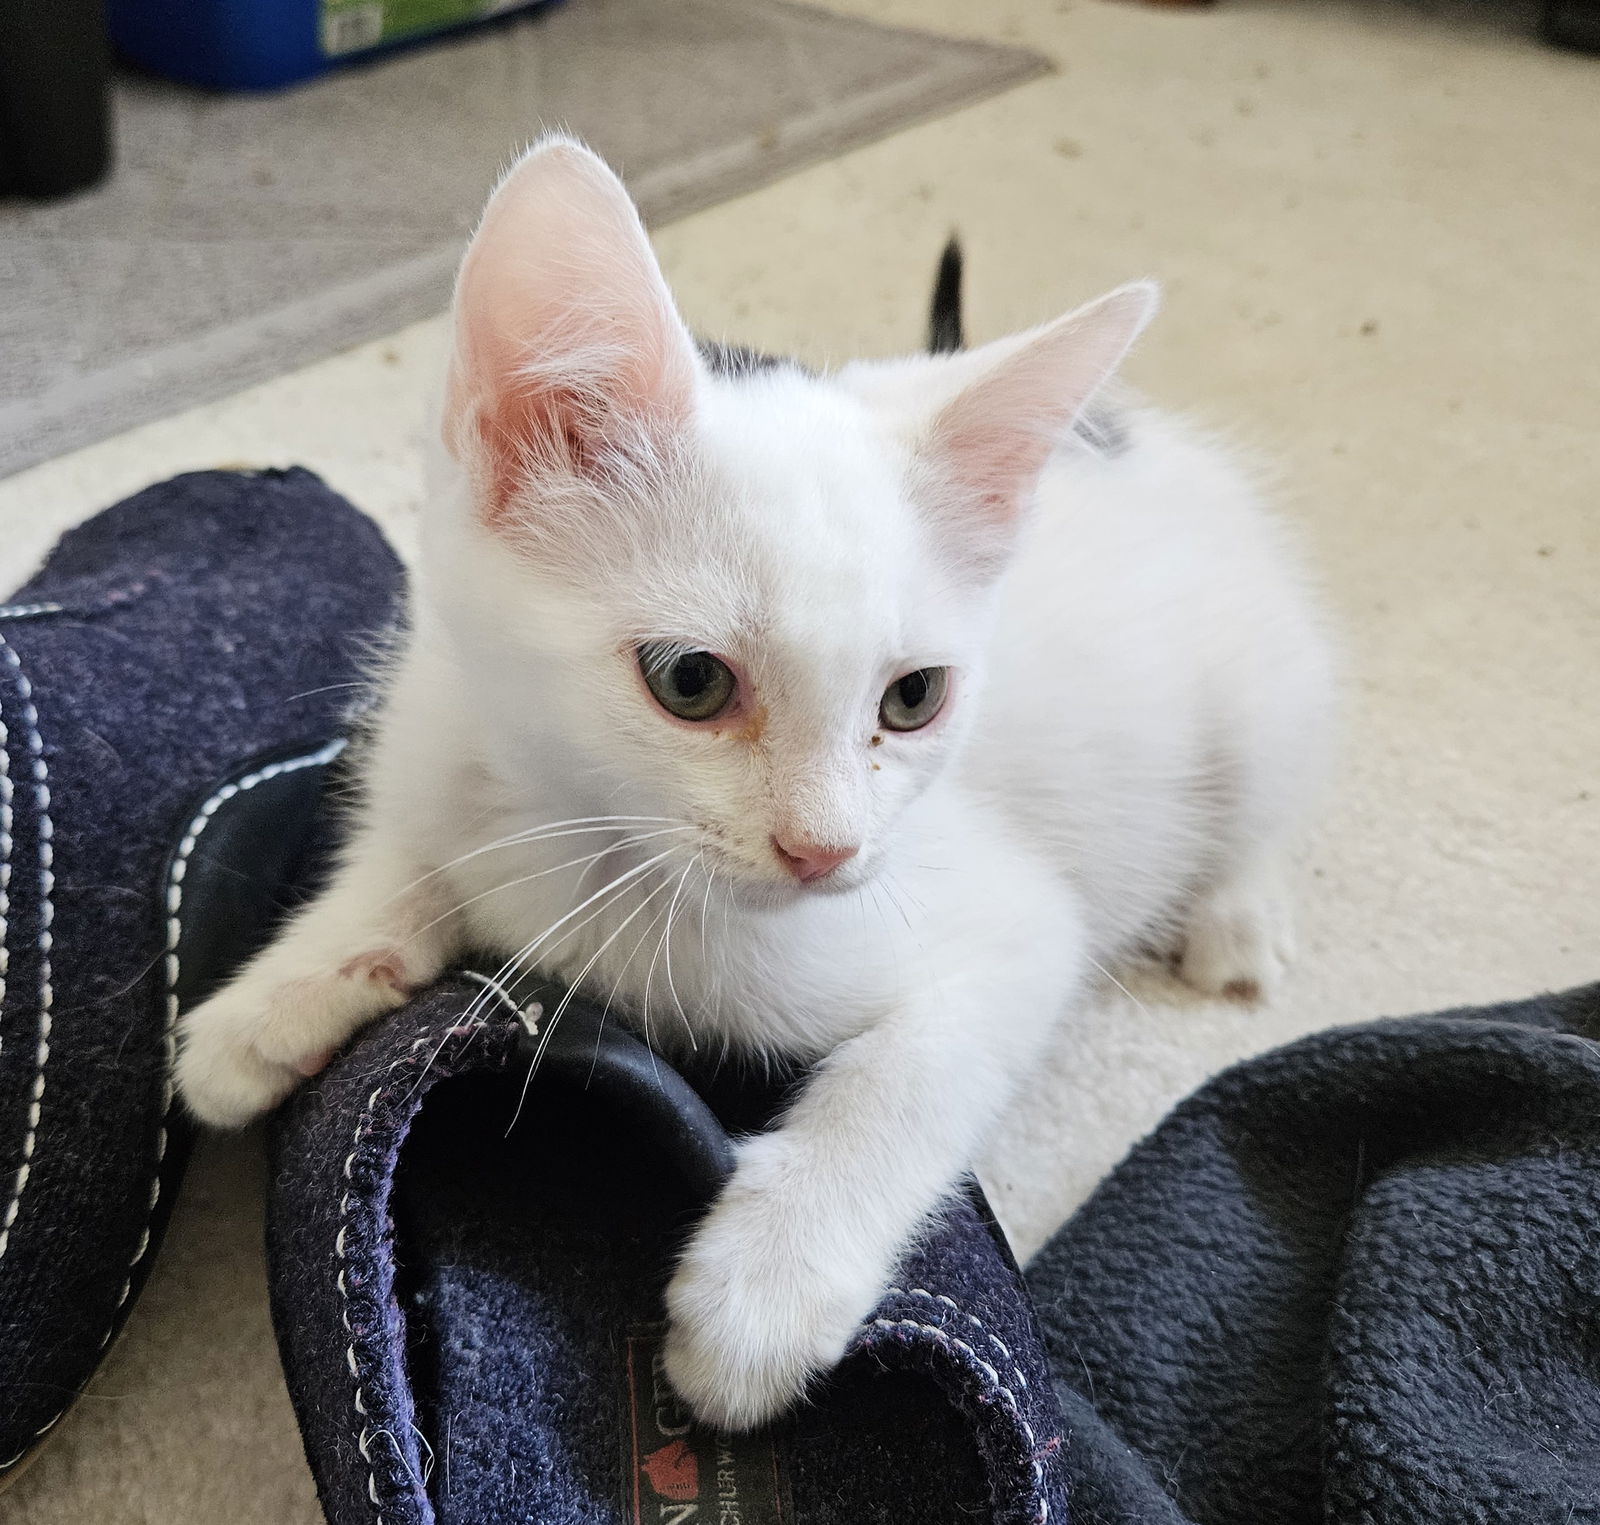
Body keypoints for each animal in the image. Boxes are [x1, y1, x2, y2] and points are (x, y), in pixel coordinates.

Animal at [175, 136, 1331, 1433]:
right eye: (690, 680)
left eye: (913, 699)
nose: (824, 852)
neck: (582, 830)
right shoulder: (438, 727)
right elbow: (407, 857)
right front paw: (278, 996)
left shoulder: (1011, 928)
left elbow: (915, 1073)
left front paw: (763, 1292)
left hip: (1261, 690)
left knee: (1264, 796)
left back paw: (1235, 916)